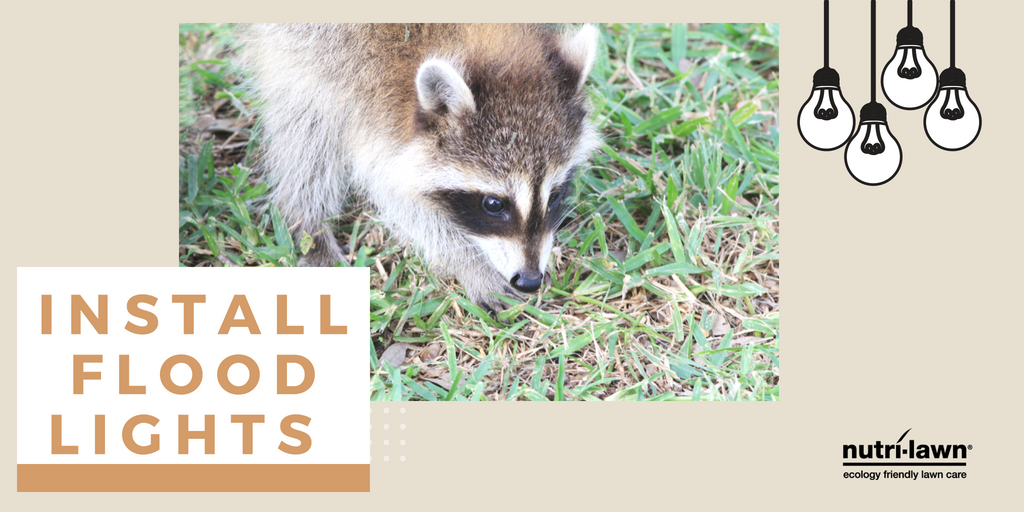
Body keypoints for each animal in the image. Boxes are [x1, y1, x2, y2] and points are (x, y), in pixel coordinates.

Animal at [237, 24, 598, 311]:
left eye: (555, 196)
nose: (530, 279)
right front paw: (469, 264)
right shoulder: (351, 80)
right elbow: (400, 199)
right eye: (494, 204)